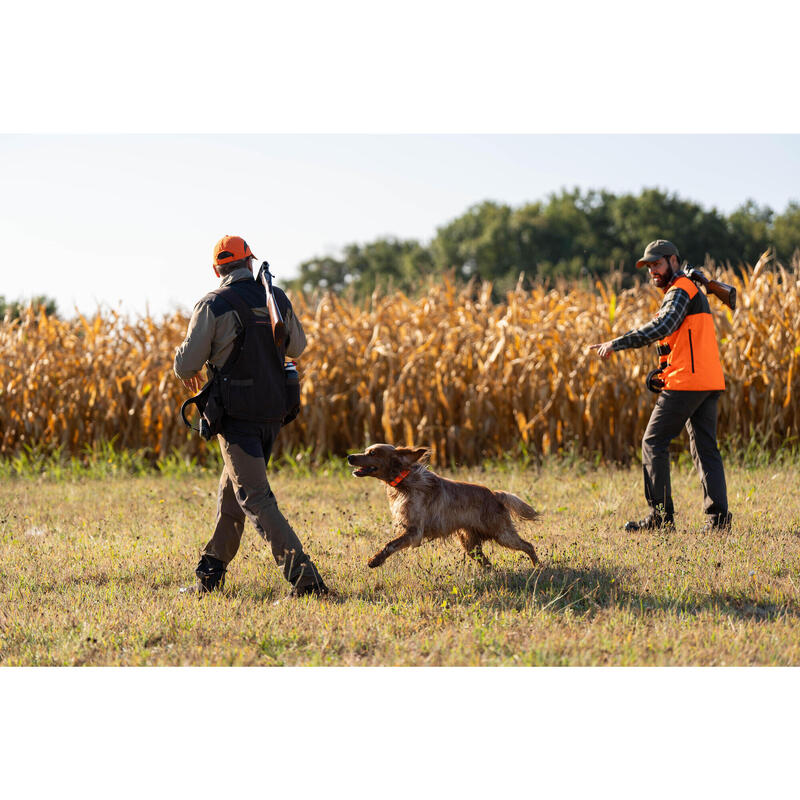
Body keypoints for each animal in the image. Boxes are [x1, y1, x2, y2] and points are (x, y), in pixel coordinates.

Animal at [346, 444, 540, 568]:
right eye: (366, 451)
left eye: (372, 453)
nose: (350, 457)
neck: (405, 482)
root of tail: (494, 494)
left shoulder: (414, 532)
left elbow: (390, 544)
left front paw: (375, 560)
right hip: (470, 544)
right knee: (487, 563)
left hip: (502, 533)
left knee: (528, 545)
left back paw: (538, 567)